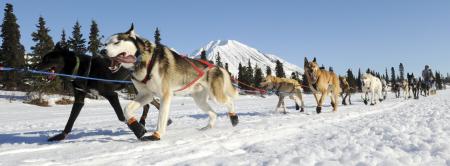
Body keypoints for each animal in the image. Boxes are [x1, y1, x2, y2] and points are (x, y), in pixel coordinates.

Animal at [35, 44, 165, 141]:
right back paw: (159, 121)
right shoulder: (79, 98)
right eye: (43, 58)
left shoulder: (112, 95)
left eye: (48, 59)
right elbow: (71, 119)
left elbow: (121, 116)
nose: (34, 68)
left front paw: (137, 129)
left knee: (151, 104)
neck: (82, 69)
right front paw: (61, 136)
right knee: (152, 104)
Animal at [104, 25, 239, 141]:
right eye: (105, 43)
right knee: (214, 113)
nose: (102, 51)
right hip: (199, 100)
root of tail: (217, 67)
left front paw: (157, 135)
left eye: (116, 42)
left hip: (216, 96)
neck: (143, 60)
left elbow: (161, 117)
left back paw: (234, 118)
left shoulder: (165, 95)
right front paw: (137, 128)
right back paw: (207, 128)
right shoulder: (146, 95)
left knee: (229, 101)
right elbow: (126, 109)